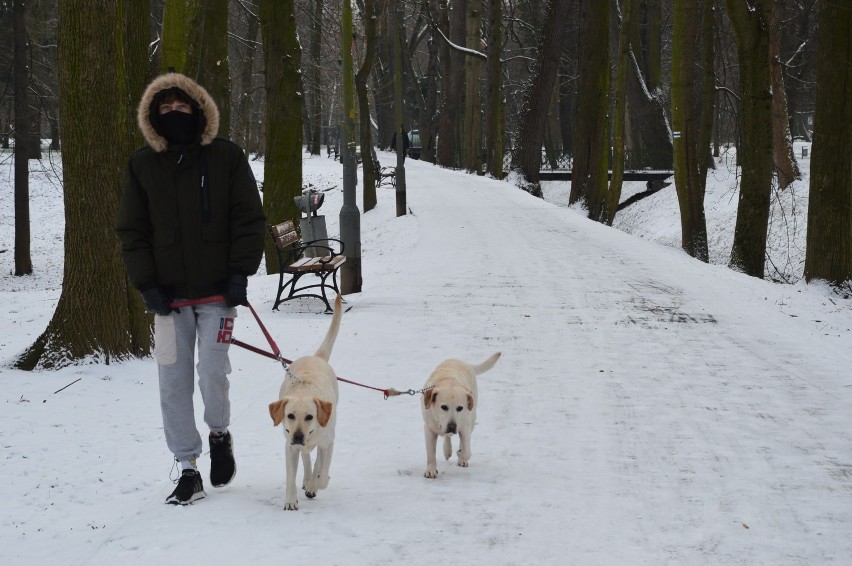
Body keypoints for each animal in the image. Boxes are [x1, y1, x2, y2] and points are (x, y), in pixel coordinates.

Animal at [270, 296, 342, 512]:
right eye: (290, 415)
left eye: (310, 416)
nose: (298, 435)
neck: (305, 391)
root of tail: (315, 357)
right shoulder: (289, 446)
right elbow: (290, 475)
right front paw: (290, 500)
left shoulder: (328, 442)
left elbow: (323, 472)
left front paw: (315, 485)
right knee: (306, 457)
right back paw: (307, 477)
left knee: (317, 459)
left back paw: (312, 481)